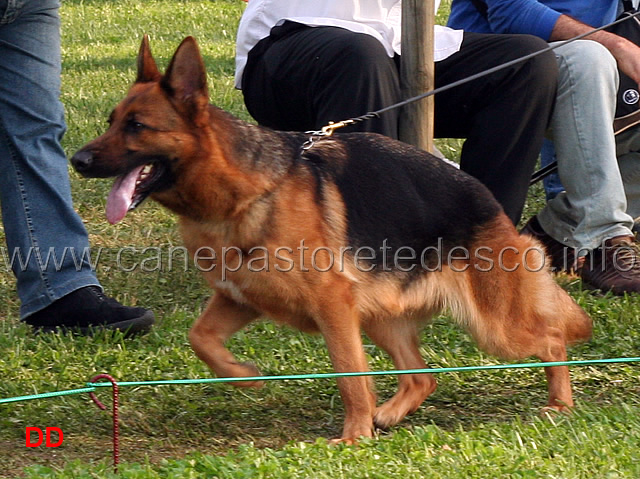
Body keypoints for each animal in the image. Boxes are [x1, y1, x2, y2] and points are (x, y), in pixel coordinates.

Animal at [72, 35, 592, 444]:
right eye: (112, 121)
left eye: (137, 126)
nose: (77, 160)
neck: (242, 195)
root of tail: (490, 202)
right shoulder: (239, 298)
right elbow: (200, 338)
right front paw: (244, 377)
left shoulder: (332, 308)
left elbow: (349, 376)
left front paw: (353, 436)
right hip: (381, 318)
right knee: (422, 377)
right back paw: (391, 413)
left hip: (493, 327)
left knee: (551, 340)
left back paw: (560, 404)